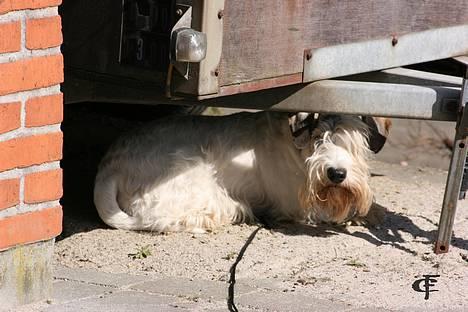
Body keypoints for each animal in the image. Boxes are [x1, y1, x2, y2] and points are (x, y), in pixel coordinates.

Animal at [94, 111, 392, 233]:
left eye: (355, 143)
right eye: (318, 138)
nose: (336, 174)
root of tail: (110, 166)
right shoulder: (300, 207)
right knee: (161, 218)